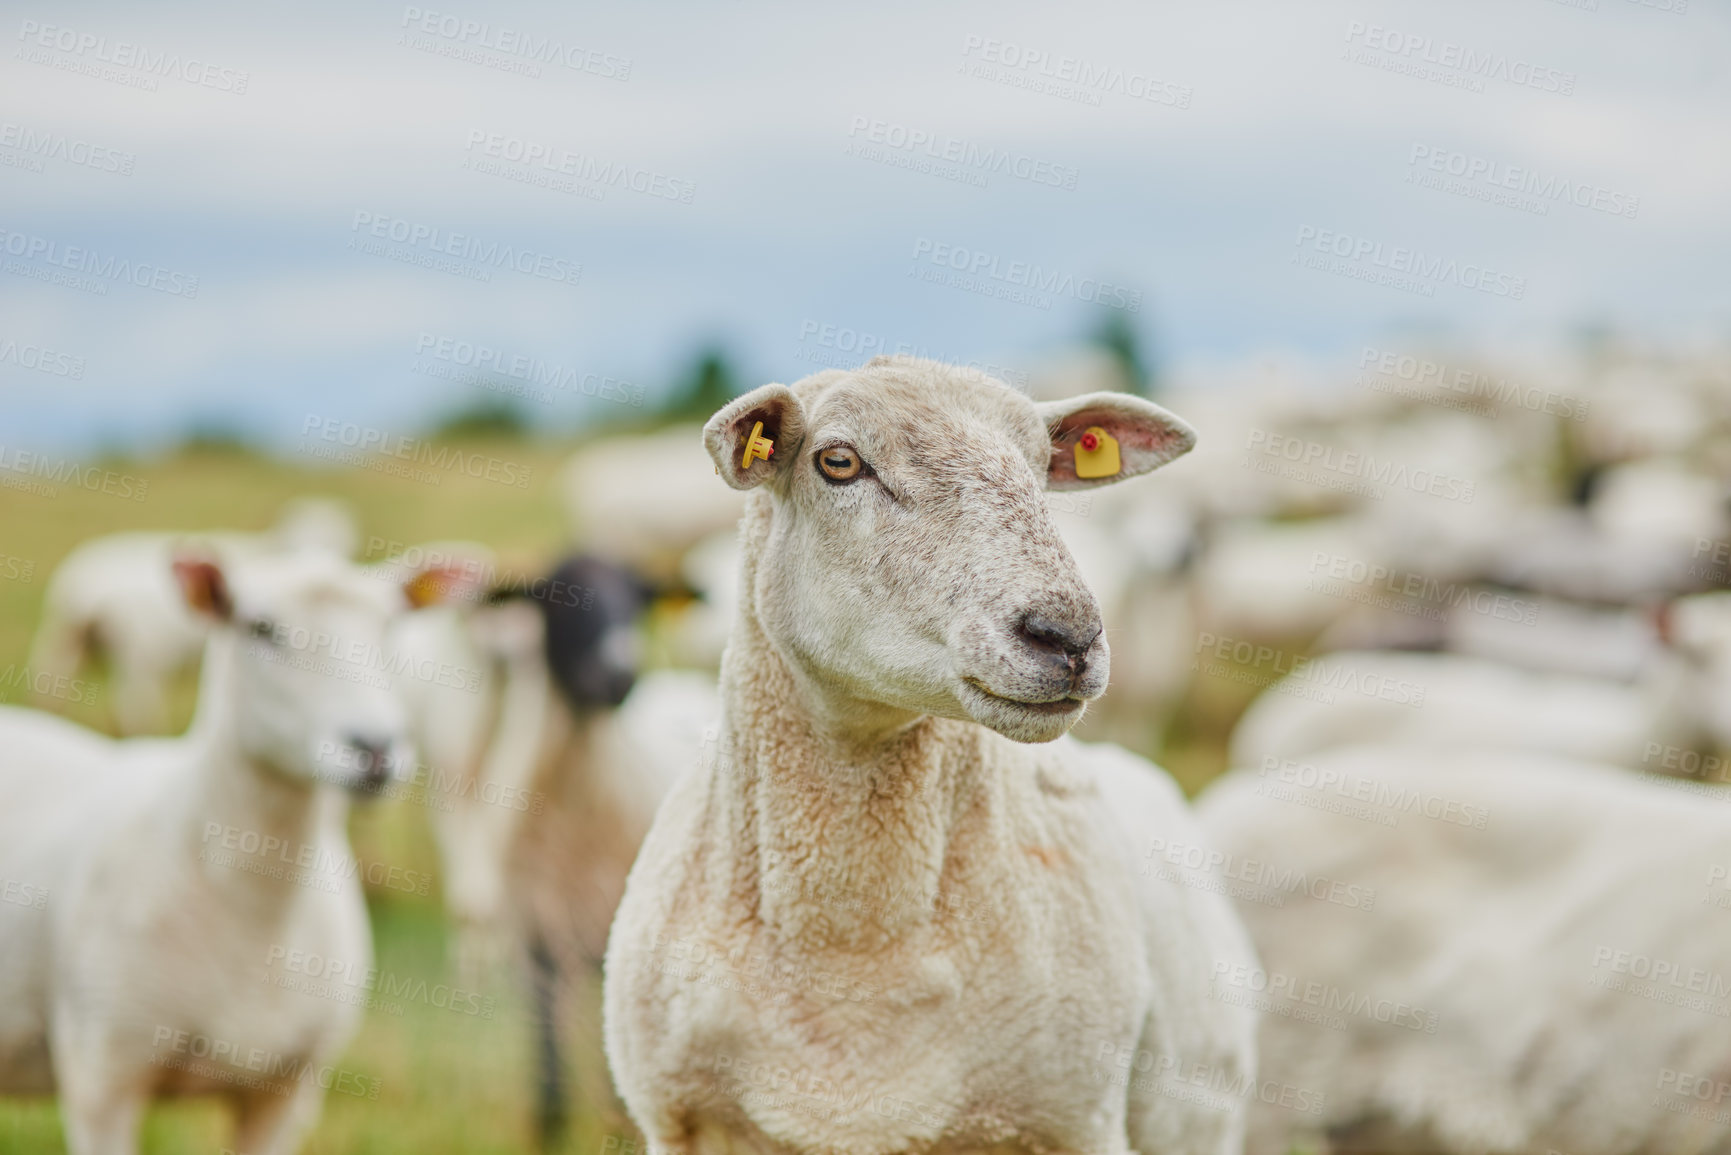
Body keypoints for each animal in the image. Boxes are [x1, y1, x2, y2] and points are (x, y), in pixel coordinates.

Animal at [26, 495, 358, 730]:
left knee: (52, 679)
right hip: (140, 651)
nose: (319, 558)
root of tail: (85, 586)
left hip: (68, 637)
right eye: (292, 536)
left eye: (341, 539)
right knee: (133, 702)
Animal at [602, 358, 1253, 1155]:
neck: (851, 954)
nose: (1067, 636)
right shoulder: (679, 1121)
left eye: (1040, 465)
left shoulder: (1079, 1123)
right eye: (838, 461)